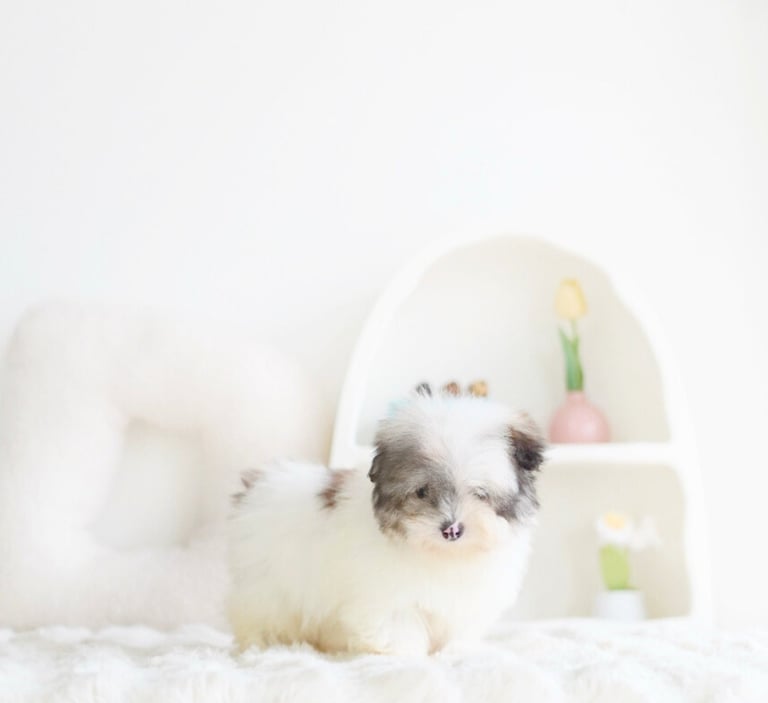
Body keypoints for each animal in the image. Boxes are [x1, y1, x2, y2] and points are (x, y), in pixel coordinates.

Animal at [227, 386, 545, 655]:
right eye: (421, 491)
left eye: (480, 493)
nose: (451, 529)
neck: (444, 555)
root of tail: (257, 484)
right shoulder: (388, 601)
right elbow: (400, 630)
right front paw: (406, 656)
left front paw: (455, 653)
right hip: (266, 585)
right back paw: (259, 645)